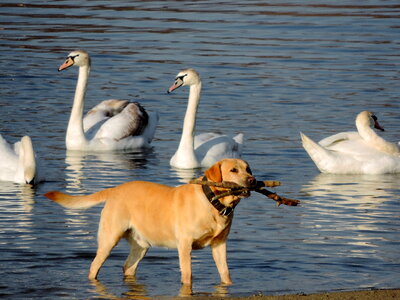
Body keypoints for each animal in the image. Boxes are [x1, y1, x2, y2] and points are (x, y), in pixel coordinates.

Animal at [44, 158, 256, 284]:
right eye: (233, 170)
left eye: (248, 169)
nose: (252, 180)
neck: (213, 202)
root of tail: (114, 189)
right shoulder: (184, 245)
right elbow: (187, 275)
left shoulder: (219, 244)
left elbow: (225, 273)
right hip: (109, 239)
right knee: (94, 266)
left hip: (141, 245)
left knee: (128, 266)